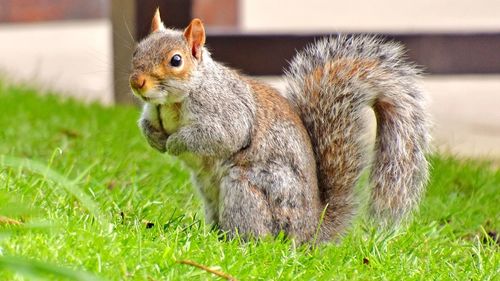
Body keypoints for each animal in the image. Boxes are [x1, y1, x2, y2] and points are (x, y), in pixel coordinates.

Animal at [128, 8, 430, 241]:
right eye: (136, 51)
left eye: (176, 60)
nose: (137, 81)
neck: (170, 103)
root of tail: (309, 231)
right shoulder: (152, 110)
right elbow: (145, 124)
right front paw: (154, 138)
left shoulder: (226, 111)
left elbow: (221, 135)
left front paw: (175, 143)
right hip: (211, 195)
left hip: (248, 189)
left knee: (260, 235)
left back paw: (237, 242)